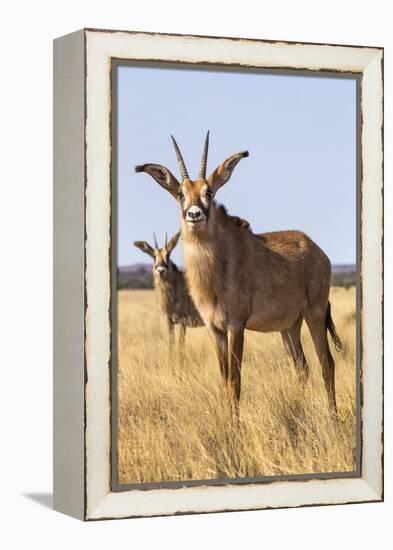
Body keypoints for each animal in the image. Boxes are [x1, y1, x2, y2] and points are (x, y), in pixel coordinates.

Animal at [134, 132, 340, 412]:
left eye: (209, 191)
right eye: (180, 193)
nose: (194, 214)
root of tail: (318, 251)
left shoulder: (236, 326)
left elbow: (235, 381)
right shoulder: (215, 329)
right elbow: (223, 380)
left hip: (314, 314)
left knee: (326, 363)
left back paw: (332, 415)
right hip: (289, 326)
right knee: (301, 366)